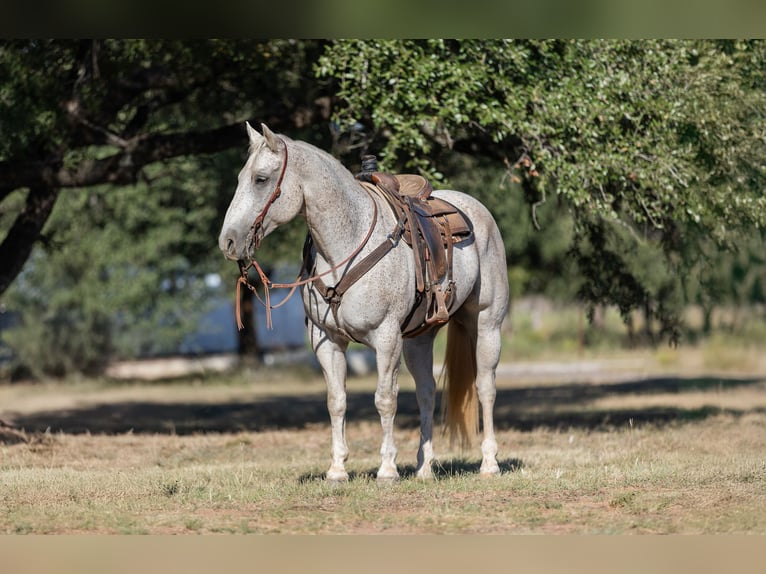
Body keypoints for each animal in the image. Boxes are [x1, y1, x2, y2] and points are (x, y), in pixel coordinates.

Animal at [219, 124, 512, 484]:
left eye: (261, 179)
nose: (228, 241)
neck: (346, 244)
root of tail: (477, 210)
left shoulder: (386, 338)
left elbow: (385, 399)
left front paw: (387, 468)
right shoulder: (327, 341)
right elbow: (336, 401)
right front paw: (337, 469)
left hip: (487, 325)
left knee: (485, 387)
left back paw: (489, 462)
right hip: (418, 339)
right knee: (426, 392)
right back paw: (424, 468)